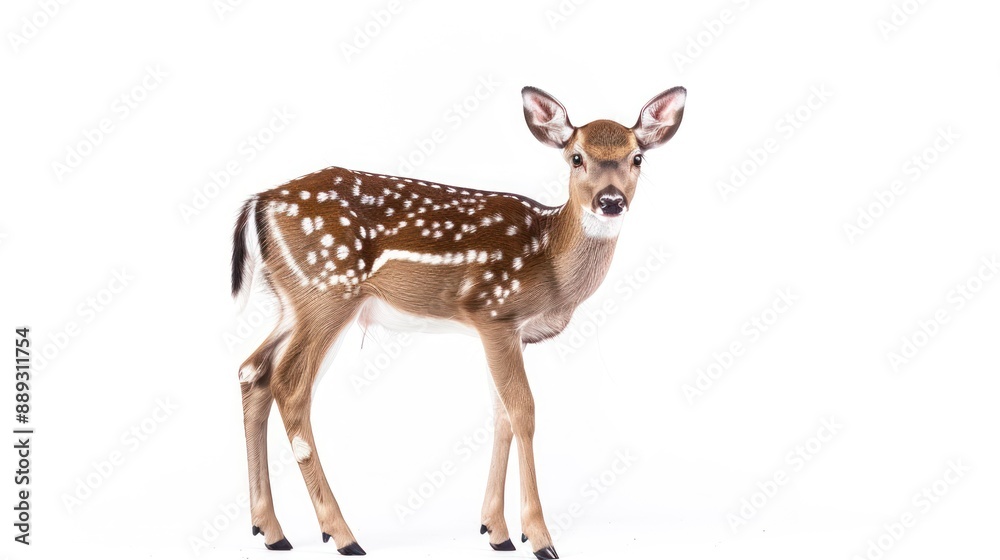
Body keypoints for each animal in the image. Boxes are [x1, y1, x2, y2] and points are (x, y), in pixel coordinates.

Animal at [231, 85, 686, 558]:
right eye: (575, 157)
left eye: (637, 157)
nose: (610, 201)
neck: (550, 262)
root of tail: (259, 202)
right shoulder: (495, 312)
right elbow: (523, 411)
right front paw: (540, 537)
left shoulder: (509, 334)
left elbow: (500, 416)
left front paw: (497, 531)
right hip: (327, 289)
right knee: (289, 384)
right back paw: (341, 534)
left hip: (292, 302)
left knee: (252, 370)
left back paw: (270, 530)